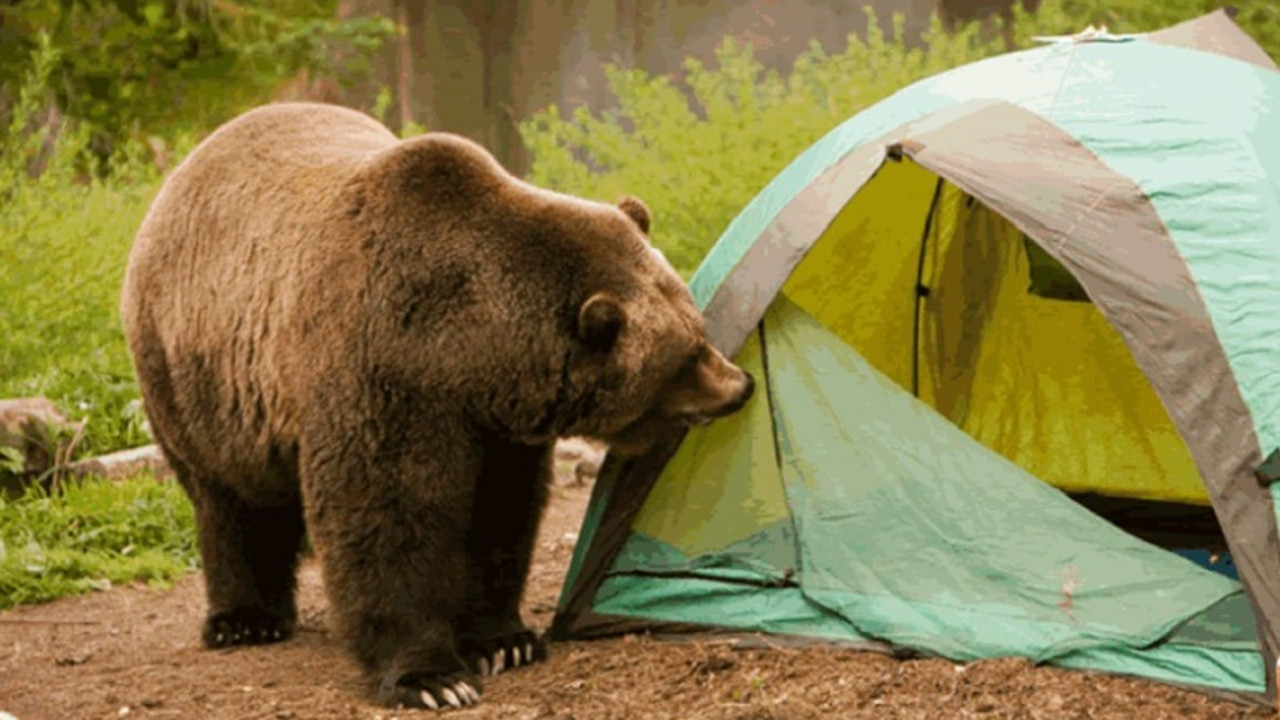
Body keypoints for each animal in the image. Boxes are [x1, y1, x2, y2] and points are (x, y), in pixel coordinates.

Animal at [120, 101, 747, 707]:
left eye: (697, 323)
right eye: (688, 353)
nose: (740, 385)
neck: (466, 350)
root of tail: (187, 166)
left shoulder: (496, 425)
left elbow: (501, 515)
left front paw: (504, 641)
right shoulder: (381, 371)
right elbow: (389, 518)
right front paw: (432, 676)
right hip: (196, 376)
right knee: (229, 499)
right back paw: (244, 620)